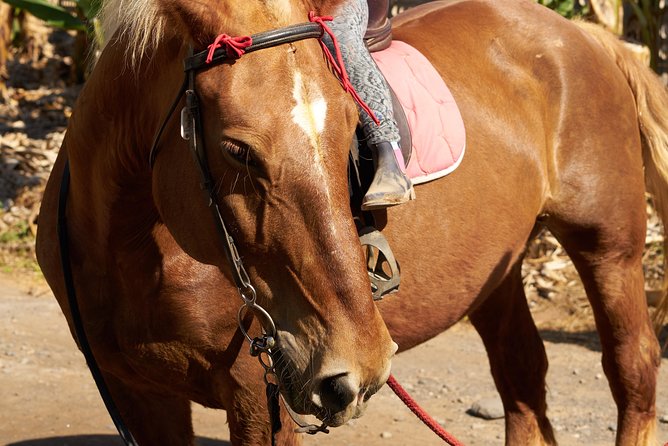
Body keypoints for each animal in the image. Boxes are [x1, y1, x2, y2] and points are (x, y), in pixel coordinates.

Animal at [35, 0, 668, 444]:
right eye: (237, 151)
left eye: (349, 136)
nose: (354, 368)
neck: (132, 251)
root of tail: (585, 35)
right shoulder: (138, 393)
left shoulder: (258, 400)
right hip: (496, 271)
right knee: (523, 379)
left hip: (609, 247)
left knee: (632, 370)